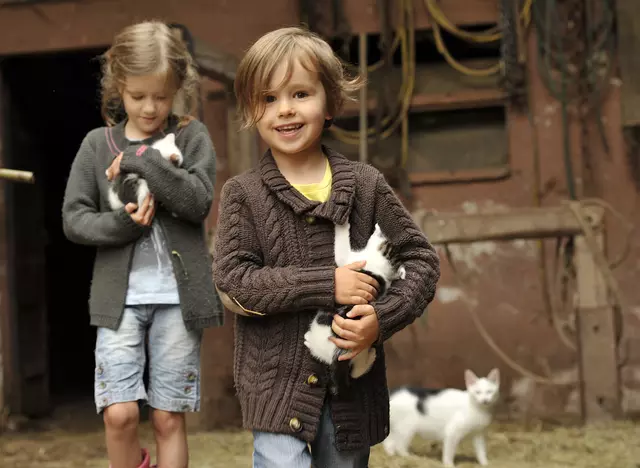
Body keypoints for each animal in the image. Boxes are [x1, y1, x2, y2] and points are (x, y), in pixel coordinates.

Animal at [304, 222, 404, 394]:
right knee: (354, 371)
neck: (379, 267)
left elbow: (341, 246)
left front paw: (342, 224)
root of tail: (340, 352)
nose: (379, 228)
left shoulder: (347, 260)